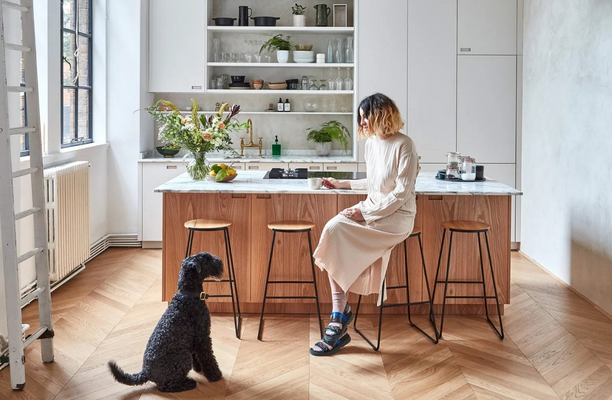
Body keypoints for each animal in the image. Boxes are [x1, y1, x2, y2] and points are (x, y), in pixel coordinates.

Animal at [109, 252, 224, 392]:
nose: (220, 261)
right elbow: (208, 357)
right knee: (165, 386)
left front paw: (198, 368)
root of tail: (146, 372)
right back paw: (188, 383)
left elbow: (197, 356)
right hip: (183, 358)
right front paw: (215, 375)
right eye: (206, 258)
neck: (188, 295)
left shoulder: (194, 340)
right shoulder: (203, 337)